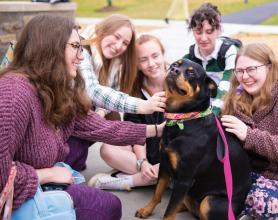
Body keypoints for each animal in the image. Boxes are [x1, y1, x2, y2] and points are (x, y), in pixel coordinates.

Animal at [136, 58, 251, 220]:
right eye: (175, 64)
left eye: (191, 73)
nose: (173, 70)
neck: (184, 119)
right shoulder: (164, 165)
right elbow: (157, 193)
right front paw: (146, 210)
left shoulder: (184, 179)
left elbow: (169, 212)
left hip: (209, 202)